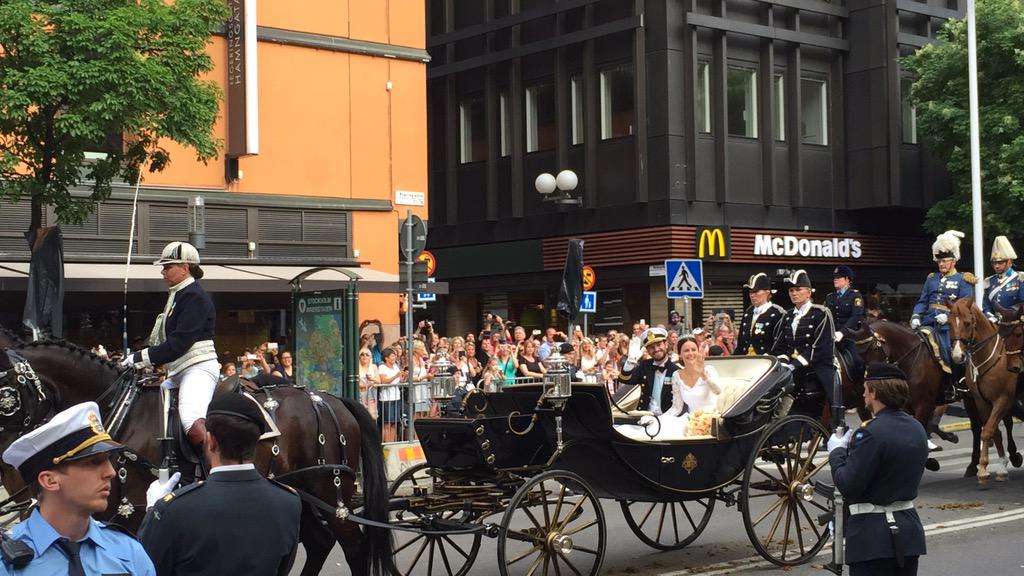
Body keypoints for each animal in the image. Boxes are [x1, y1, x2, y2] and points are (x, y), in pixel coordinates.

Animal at [942, 295, 1024, 483]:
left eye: (967, 323)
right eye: (949, 323)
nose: (957, 356)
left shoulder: (1003, 399)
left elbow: (987, 431)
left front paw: (983, 470)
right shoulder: (981, 401)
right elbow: (993, 430)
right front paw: (999, 466)